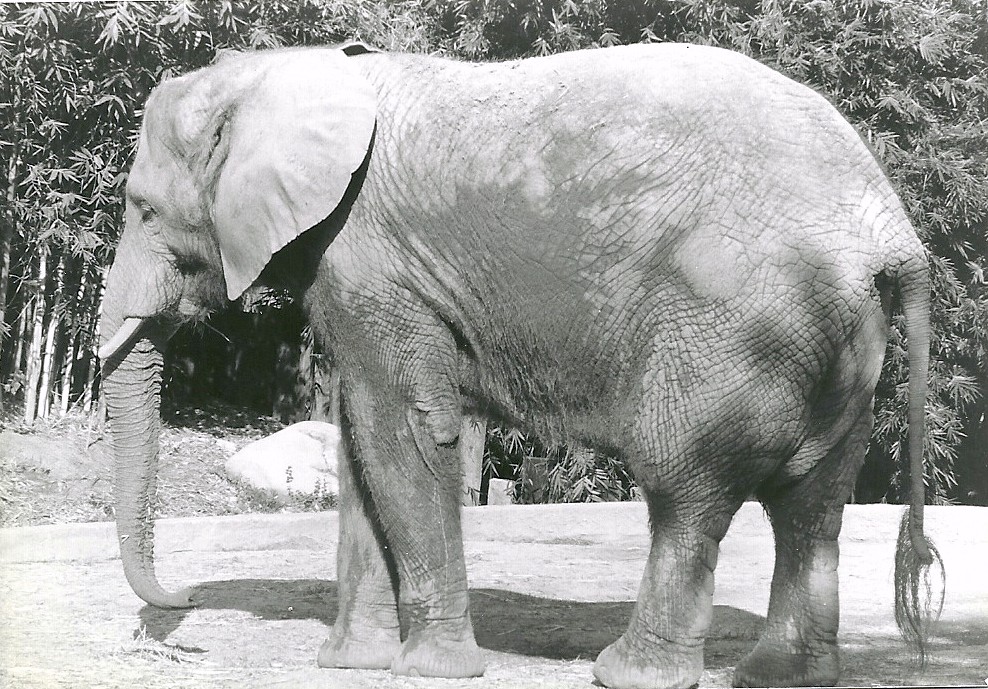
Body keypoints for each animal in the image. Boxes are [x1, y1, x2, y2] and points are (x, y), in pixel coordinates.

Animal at [98, 42, 941, 689]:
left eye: (143, 209)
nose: (183, 603)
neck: (282, 72)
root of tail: (891, 229)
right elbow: (359, 441)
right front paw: (350, 663)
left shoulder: (372, 264)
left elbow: (401, 431)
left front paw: (428, 669)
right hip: (838, 337)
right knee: (813, 505)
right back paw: (780, 675)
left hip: (735, 322)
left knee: (686, 488)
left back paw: (627, 673)